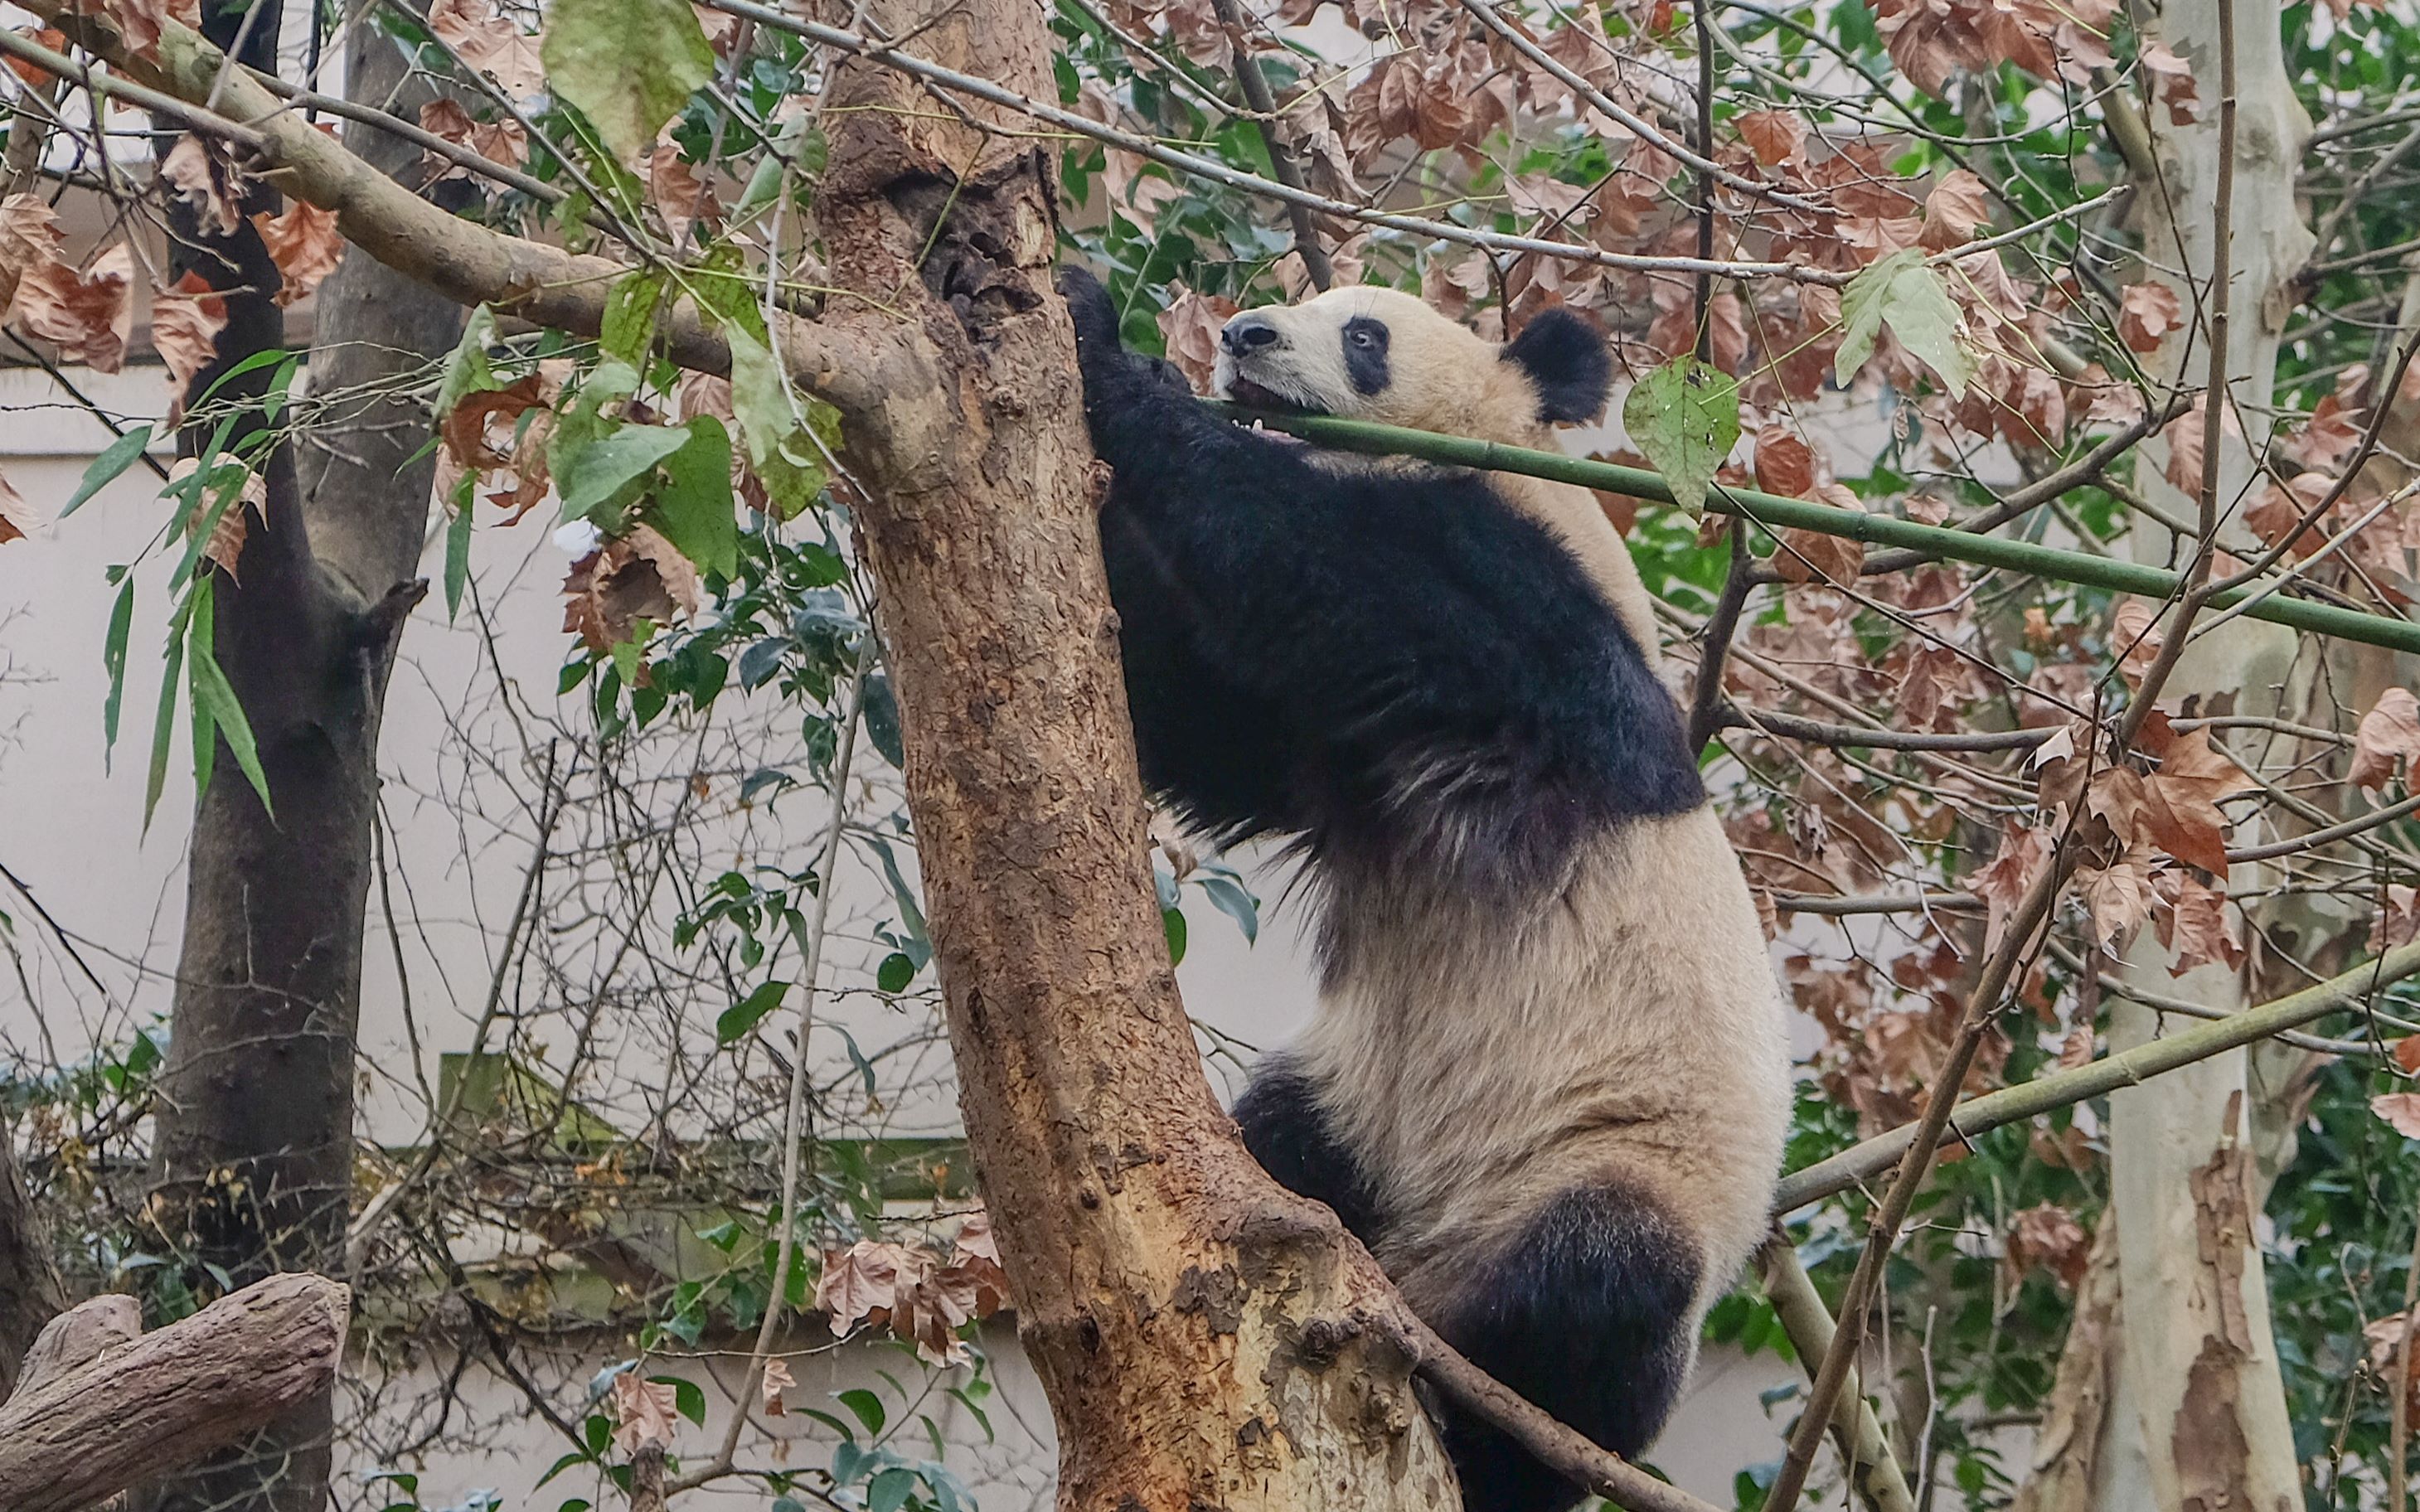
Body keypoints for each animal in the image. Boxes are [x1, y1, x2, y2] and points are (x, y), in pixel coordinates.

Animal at [1060, 270, 1800, 1510]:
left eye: (1363, 335)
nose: (1246, 335)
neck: (1512, 459)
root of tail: (1423, 1276)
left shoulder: (1537, 622)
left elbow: (1320, 562)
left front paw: (1097, 347)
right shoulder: (1314, 753)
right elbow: (1189, 715)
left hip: (1607, 1163)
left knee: (1600, 1287)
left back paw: (1486, 1437)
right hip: (1357, 1103)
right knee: (1288, 1141)